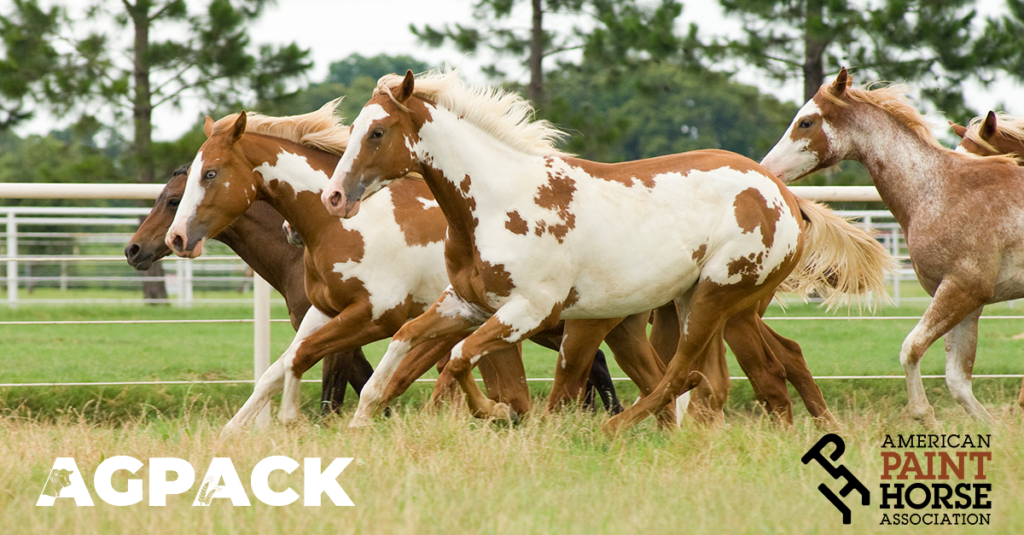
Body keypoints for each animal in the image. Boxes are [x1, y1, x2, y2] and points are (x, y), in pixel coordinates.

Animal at [321, 68, 888, 430]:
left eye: (377, 131)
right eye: (355, 128)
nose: (334, 197)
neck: (497, 200)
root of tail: (782, 195)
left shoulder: (527, 310)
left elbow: (460, 361)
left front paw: (494, 413)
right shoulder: (465, 304)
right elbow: (403, 347)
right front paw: (362, 419)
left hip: (717, 297)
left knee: (685, 375)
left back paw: (611, 432)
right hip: (709, 305)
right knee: (728, 379)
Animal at [761, 67, 1024, 424]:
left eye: (806, 122)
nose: (765, 168)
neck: (939, 190)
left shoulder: (963, 290)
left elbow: (911, 349)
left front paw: (923, 414)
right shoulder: (966, 301)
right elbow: (958, 381)